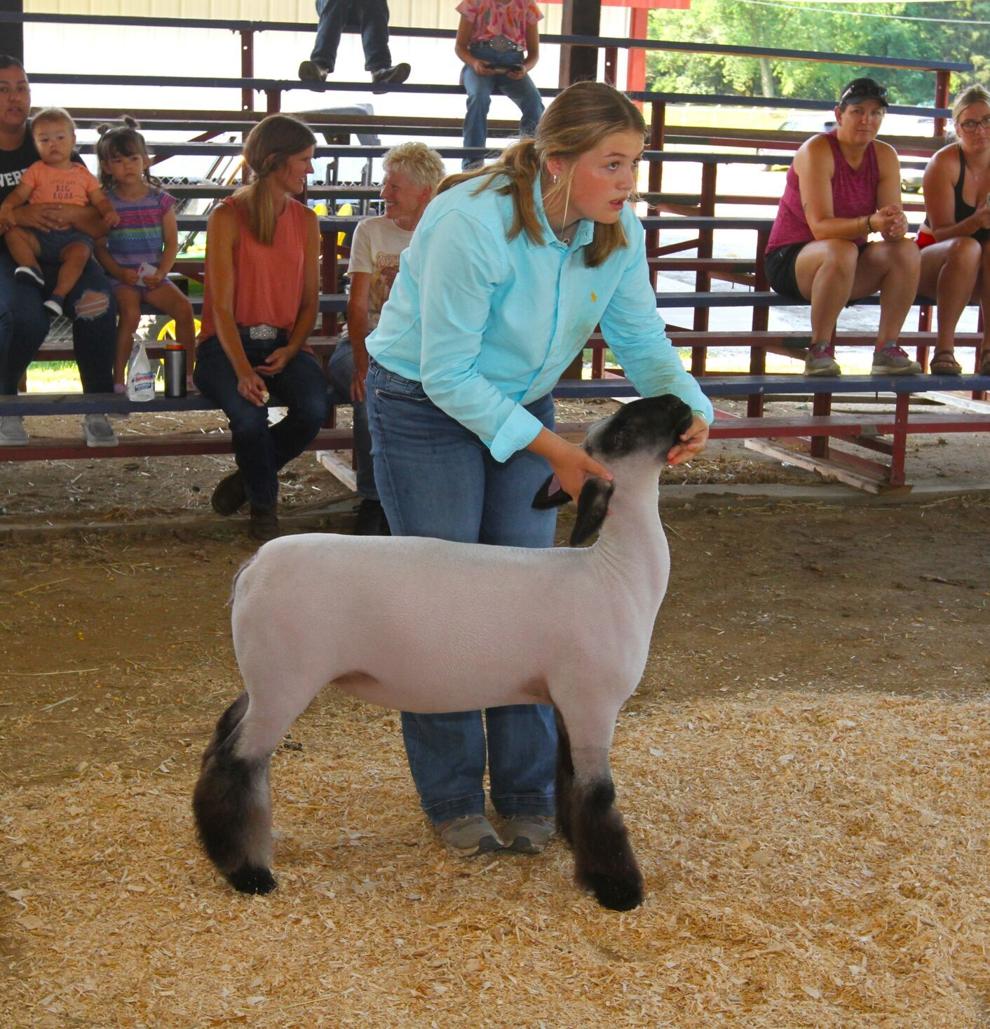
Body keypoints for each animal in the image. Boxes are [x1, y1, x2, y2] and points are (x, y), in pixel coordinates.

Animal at [189, 391, 691, 909]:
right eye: (623, 430)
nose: (680, 402)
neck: (614, 572)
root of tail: (252, 567)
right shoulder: (593, 700)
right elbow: (598, 794)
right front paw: (618, 887)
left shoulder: (566, 702)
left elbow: (569, 777)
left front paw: (576, 849)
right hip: (286, 680)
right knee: (238, 760)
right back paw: (248, 873)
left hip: (263, 673)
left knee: (222, 736)